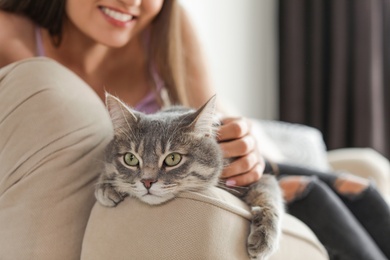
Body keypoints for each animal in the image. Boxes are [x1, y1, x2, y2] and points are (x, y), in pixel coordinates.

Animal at [94, 93, 284, 260]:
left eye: (173, 159)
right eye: (130, 158)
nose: (147, 181)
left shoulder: (256, 176)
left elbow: (268, 196)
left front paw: (265, 236)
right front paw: (106, 185)